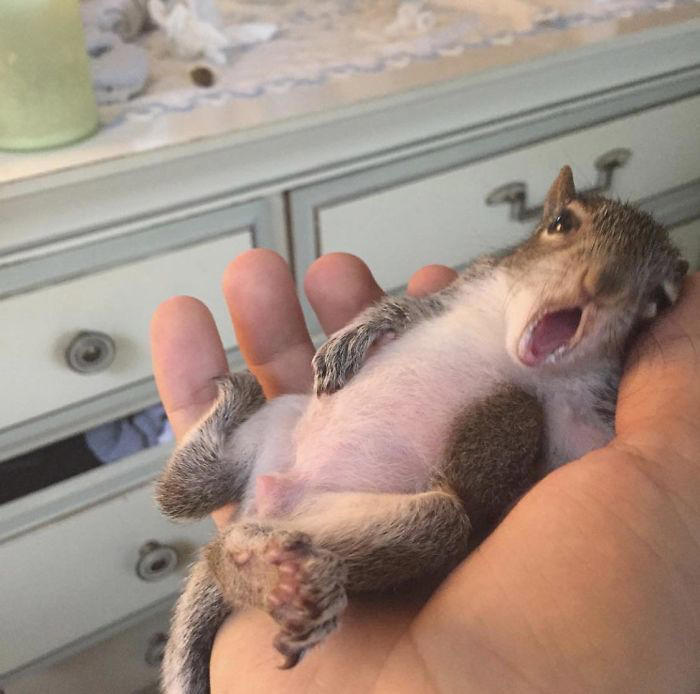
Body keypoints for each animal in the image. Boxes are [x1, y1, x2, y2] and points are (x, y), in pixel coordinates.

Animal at [155, 166, 689, 694]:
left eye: (658, 301)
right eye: (560, 223)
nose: (601, 283)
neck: (520, 359)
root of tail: (264, 503)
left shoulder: (579, 424)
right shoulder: (466, 287)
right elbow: (405, 310)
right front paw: (351, 339)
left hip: (398, 520)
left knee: (216, 539)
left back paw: (272, 575)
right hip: (282, 421)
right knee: (181, 492)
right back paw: (234, 403)